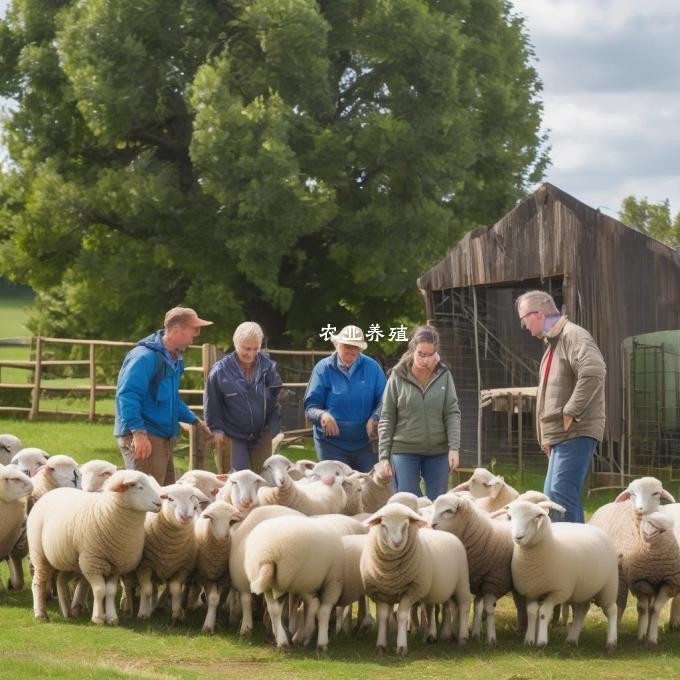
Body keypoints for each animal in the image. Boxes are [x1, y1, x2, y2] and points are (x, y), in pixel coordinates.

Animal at [26, 470, 162, 624]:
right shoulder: (92, 563)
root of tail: (49, 493)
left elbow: (110, 592)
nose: (159, 504)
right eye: (139, 487)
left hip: (68, 559)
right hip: (40, 554)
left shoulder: (114, 566)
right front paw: (98, 618)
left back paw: (67, 612)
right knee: (38, 583)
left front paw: (112, 618)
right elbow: (99, 590)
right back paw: (41, 614)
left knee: (61, 580)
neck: (108, 512)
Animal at [243, 512, 342, 652]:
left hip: (293, 580)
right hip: (291, 581)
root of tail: (267, 554)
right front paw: (281, 639)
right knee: (310, 605)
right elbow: (275, 610)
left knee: (314, 606)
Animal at [362, 504, 472, 652]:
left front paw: (401, 646)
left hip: (462, 583)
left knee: (464, 606)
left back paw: (463, 637)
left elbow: (402, 616)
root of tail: (450, 535)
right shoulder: (382, 593)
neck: (391, 573)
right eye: (383, 525)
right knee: (434, 609)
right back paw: (432, 635)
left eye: (405, 525)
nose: (397, 543)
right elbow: (383, 617)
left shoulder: (411, 591)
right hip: (438, 589)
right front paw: (381, 645)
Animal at [500, 500, 616, 648]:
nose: (518, 537)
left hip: (609, 586)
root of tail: (594, 527)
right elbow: (531, 613)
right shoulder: (532, 590)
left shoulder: (559, 592)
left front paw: (542, 642)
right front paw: (529, 640)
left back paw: (611, 642)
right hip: (584, 588)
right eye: (510, 517)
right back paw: (572, 639)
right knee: (582, 609)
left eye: (535, 518)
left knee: (612, 610)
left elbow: (543, 613)